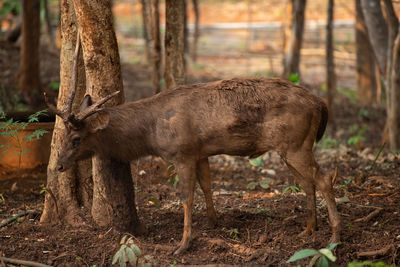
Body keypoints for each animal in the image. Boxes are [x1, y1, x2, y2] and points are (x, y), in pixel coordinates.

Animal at [47, 35, 340, 255]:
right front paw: (213, 223)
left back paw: (334, 236)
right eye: (61, 137)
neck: (150, 133)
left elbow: (186, 197)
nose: (58, 165)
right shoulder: (201, 152)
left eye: (76, 138)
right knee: (307, 183)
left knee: (324, 179)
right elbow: (207, 186)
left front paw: (183, 243)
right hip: (291, 147)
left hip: (295, 143)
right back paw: (308, 229)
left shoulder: (182, 152)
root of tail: (321, 103)